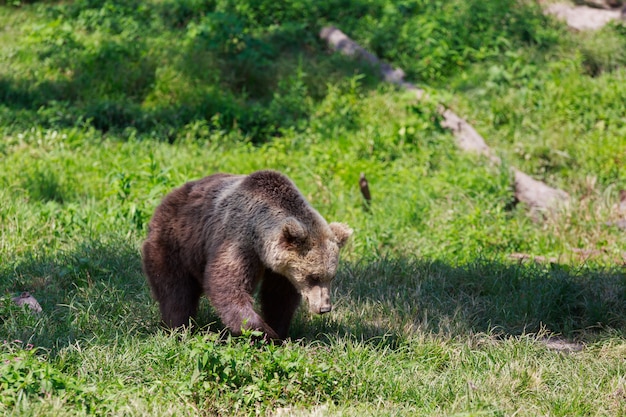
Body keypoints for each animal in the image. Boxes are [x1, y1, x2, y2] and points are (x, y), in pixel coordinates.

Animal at [141, 169, 352, 338]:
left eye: (331, 276)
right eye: (313, 276)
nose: (324, 308)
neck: (259, 237)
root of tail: (167, 199)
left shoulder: (281, 269)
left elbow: (278, 296)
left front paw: (279, 330)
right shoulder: (238, 240)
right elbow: (228, 284)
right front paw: (262, 332)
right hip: (175, 242)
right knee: (175, 291)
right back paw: (178, 328)